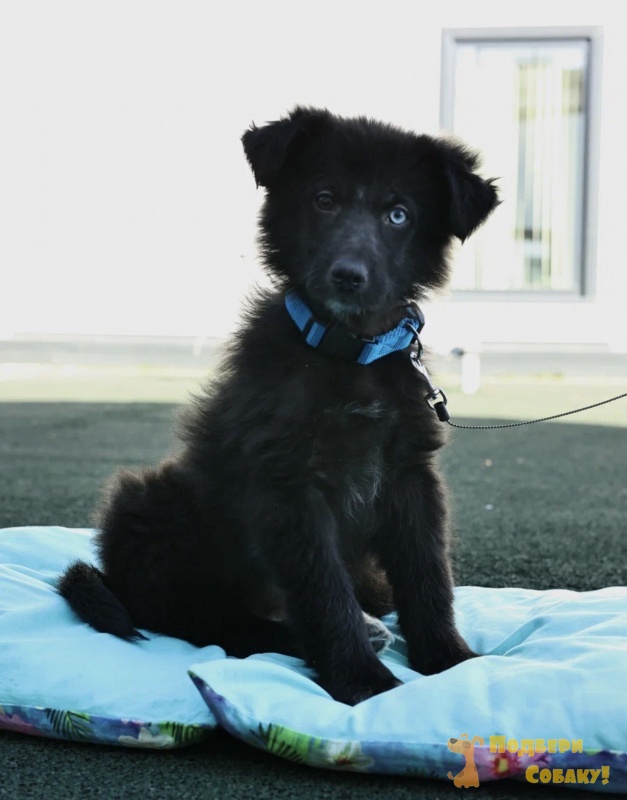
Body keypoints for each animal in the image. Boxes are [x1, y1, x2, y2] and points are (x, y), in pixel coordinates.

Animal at [59, 107, 498, 705]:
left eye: (399, 214)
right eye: (324, 199)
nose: (348, 276)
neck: (349, 351)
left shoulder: (410, 474)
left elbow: (428, 573)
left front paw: (450, 661)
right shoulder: (288, 484)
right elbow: (324, 590)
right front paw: (363, 681)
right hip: (151, 502)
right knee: (199, 620)